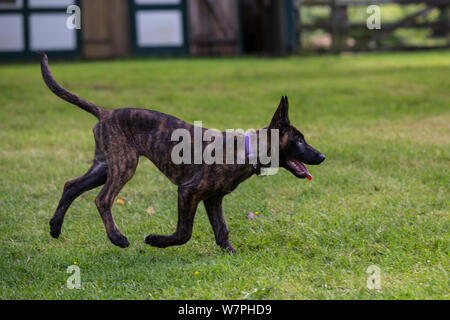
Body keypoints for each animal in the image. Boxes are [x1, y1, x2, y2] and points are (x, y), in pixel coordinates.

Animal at [38, 52, 326, 252]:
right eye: (299, 141)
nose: (322, 156)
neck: (247, 150)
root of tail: (105, 113)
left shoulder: (213, 199)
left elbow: (222, 230)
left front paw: (232, 254)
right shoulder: (188, 192)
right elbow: (184, 232)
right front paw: (156, 240)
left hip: (105, 166)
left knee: (71, 185)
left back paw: (55, 227)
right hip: (124, 165)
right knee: (102, 199)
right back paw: (117, 238)